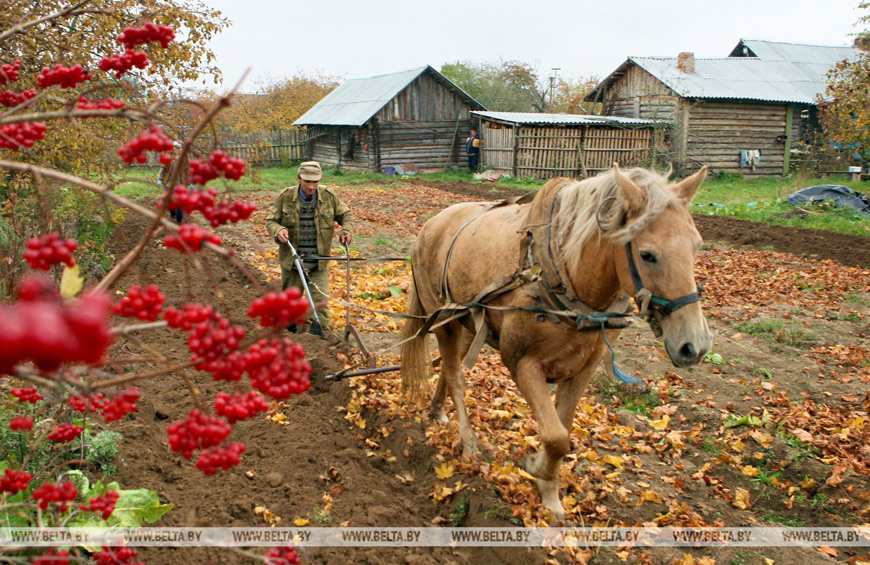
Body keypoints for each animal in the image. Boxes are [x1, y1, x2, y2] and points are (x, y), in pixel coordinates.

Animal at [399, 164, 712, 520]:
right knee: (455, 378)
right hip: (442, 322)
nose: (694, 345)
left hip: (465, 324)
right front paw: (536, 466)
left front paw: (550, 496)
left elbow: (563, 432)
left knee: (448, 370)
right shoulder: (522, 363)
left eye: (697, 245)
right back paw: (469, 443)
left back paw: (437, 411)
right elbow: (554, 436)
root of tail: (431, 224)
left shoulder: (582, 370)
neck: (562, 276)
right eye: (647, 255)